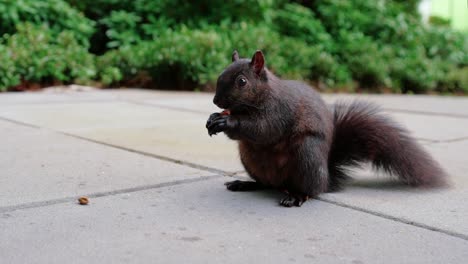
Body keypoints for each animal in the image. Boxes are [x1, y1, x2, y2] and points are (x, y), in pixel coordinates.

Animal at [207, 49, 448, 206]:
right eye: (221, 73)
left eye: (242, 81)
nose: (216, 101)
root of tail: (325, 180)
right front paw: (213, 119)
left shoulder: (279, 111)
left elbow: (263, 129)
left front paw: (227, 121)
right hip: (250, 159)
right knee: (267, 184)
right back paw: (245, 184)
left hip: (307, 154)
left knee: (310, 191)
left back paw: (297, 196)